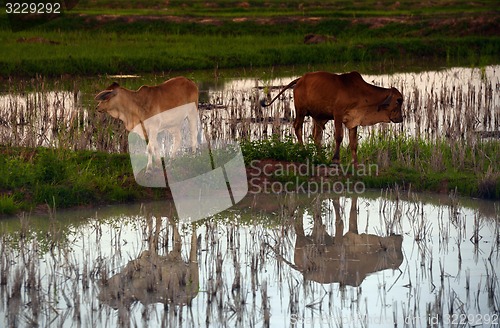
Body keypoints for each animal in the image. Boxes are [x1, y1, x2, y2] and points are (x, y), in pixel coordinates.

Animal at [264, 71, 404, 165]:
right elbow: (339, 137)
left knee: (316, 136)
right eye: (398, 100)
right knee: (297, 127)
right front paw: (336, 159)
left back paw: (320, 157)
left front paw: (355, 162)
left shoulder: (353, 121)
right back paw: (303, 151)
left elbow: (353, 143)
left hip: (317, 117)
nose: (401, 119)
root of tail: (301, 79)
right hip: (301, 111)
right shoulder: (338, 115)